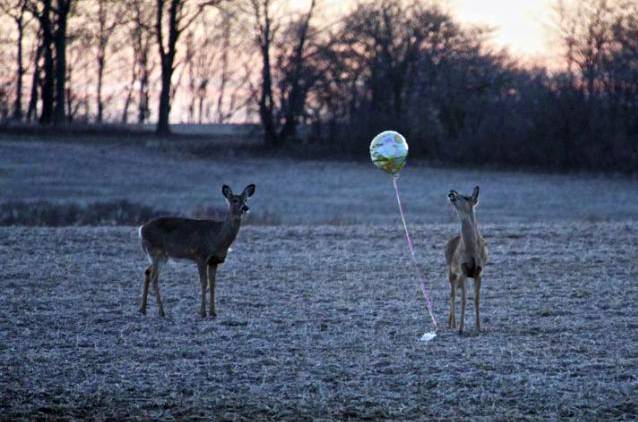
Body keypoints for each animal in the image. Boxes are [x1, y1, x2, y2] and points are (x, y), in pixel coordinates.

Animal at [139, 183, 256, 318]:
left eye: (246, 199)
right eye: (235, 200)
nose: (245, 208)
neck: (217, 237)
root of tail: (141, 229)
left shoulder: (214, 261)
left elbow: (213, 284)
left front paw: (213, 312)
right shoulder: (201, 256)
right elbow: (204, 283)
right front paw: (202, 312)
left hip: (161, 257)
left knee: (147, 272)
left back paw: (143, 309)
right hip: (156, 252)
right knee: (154, 278)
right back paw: (161, 311)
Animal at [444, 186, 490, 334]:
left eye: (465, 197)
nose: (451, 191)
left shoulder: (479, 271)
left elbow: (476, 299)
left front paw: (479, 327)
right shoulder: (463, 269)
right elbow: (463, 299)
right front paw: (461, 328)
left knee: (454, 294)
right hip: (451, 271)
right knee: (452, 295)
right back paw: (452, 324)